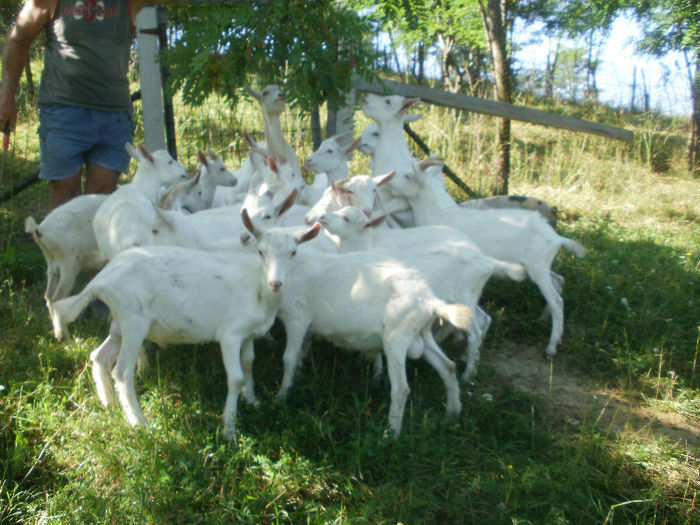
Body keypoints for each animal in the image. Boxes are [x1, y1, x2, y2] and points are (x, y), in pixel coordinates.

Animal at [51, 211, 320, 440]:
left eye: (294, 253)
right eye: (261, 251)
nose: (276, 283)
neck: (259, 290)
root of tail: (101, 280)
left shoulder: (249, 335)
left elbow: (248, 364)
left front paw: (253, 400)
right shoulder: (230, 334)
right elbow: (235, 377)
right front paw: (229, 428)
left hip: (119, 323)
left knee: (99, 355)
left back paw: (108, 403)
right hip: (133, 321)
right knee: (122, 372)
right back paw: (139, 422)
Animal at [392, 158, 588, 358]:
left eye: (407, 176)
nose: (389, 183)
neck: (440, 215)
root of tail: (556, 238)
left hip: (538, 267)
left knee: (557, 301)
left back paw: (552, 346)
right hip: (539, 266)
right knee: (558, 281)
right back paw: (542, 319)